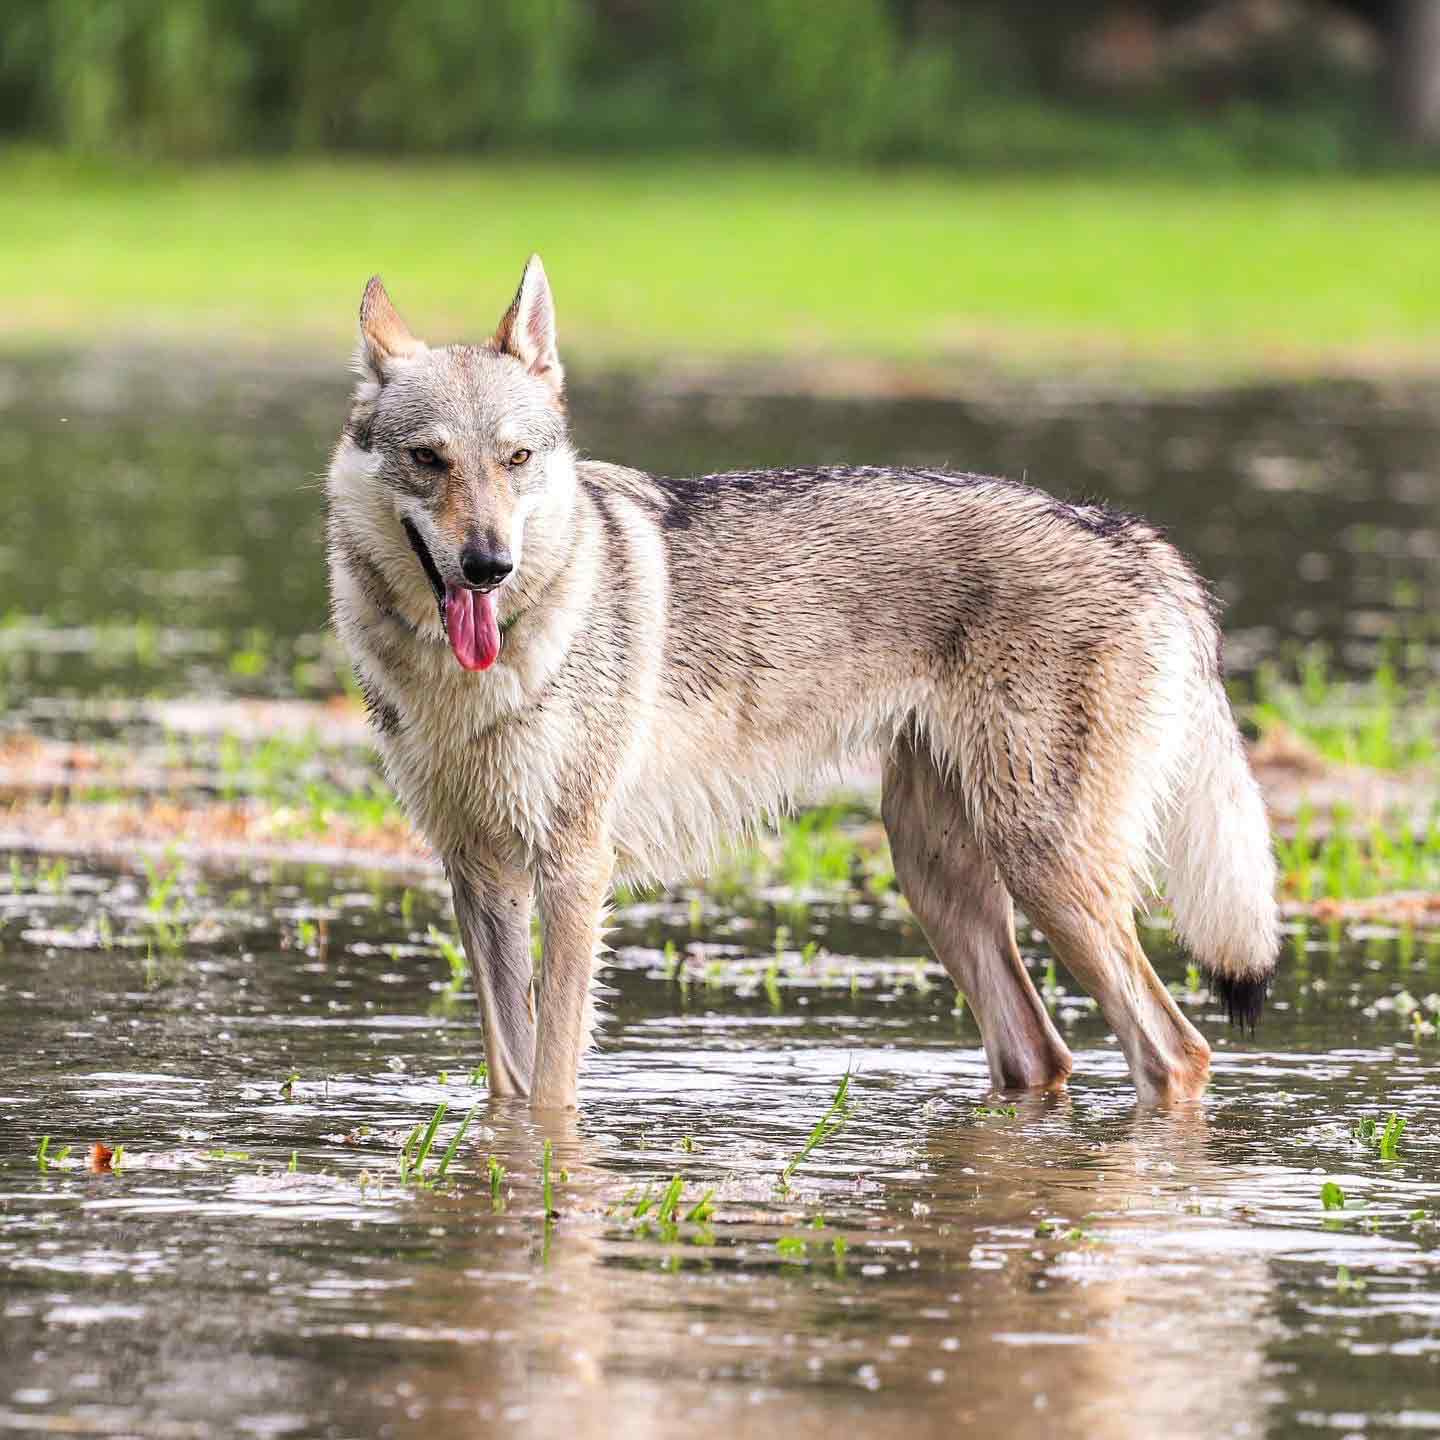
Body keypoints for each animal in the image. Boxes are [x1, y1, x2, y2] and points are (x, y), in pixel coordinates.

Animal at [325, 256, 1279, 1111]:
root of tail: (1136, 537)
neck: (469, 678)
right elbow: (511, 1087)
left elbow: (554, 1087)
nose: (489, 566)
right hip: (937, 877)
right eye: (429, 459)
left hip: (1045, 870)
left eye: (517, 459)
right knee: (1041, 1054)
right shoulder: (479, 873)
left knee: (1176, 1053)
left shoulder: (573, 870)